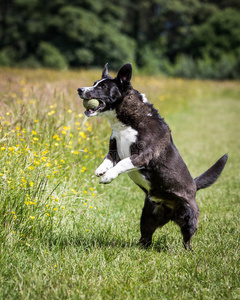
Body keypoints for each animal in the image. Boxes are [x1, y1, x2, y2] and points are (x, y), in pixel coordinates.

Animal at [78, 63, 228, 251]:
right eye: (94, 83)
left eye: (103, 87)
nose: (80, 89)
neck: (125, 122)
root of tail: (194, 186)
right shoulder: (114, 150)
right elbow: (108, 159)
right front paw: (101, 170)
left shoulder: (143, 155)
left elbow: (123, 163)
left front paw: (108, 177)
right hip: (147, 217)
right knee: (146, 237)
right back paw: (139, 247)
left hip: (190, 218)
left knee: (187, 238)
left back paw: (188, 251)